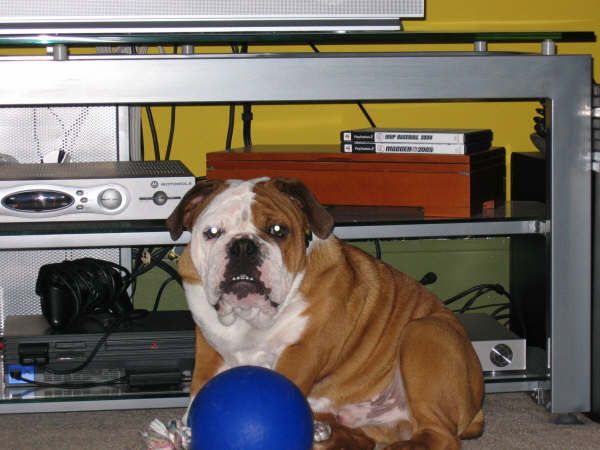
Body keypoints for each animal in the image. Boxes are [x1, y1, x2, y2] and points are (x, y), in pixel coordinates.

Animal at [166, 177, 484, 450]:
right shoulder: (209, 350)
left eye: (278, 231)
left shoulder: (303, 351)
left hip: (422, 333)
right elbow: (197, 392)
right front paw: (184, 431)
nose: (243, 246)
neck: (251, 318)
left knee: (440, 435)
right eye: (212, 233)